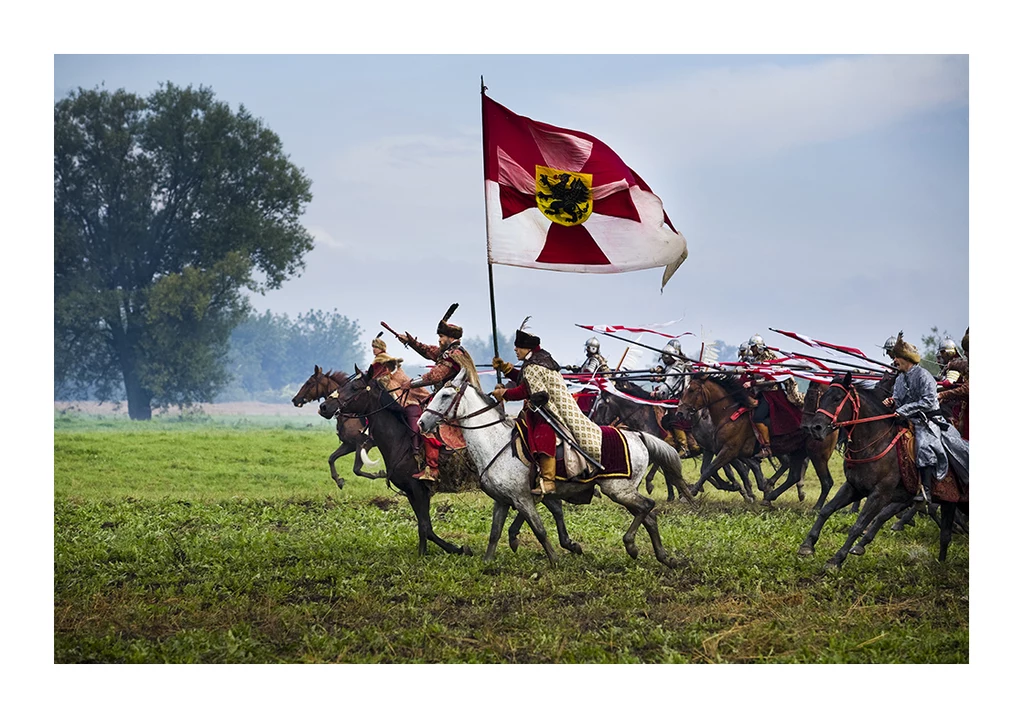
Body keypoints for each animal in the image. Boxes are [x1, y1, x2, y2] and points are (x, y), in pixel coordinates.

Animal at [417, 368, 696, 565]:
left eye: (445, 395)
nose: (421, 423)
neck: (496, 442)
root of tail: (638, 436)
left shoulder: (522, 499)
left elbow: (539, 530)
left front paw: (554, 559)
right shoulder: (503, 500)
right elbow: (495, 532)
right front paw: (486, 563)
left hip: (618, 489)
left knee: (647, 507)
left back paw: (631, 544)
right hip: (623, 491)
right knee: (649, 516)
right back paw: (662, 556)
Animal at [679, 368, 839, 510]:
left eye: (692, 390)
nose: (680, 412)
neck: (728, 414)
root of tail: (830, 422)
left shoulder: (728, 451)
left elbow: (710, 469)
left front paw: (691, 493)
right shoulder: (716, 450)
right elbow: (709, 470)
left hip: (818, 455)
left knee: (826, 481)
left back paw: (815, 507)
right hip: (797, 452)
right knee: (793, 476)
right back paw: (769, 497)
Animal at [798, 372, 966, 561]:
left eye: (837, 398)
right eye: (823, 397)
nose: (814, 428)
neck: (874, 443)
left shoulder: (879, 494)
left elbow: (858, 525)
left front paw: (836, 559)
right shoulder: (854, 487)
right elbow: (826, 510)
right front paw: (807, 545)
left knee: (942, 530)